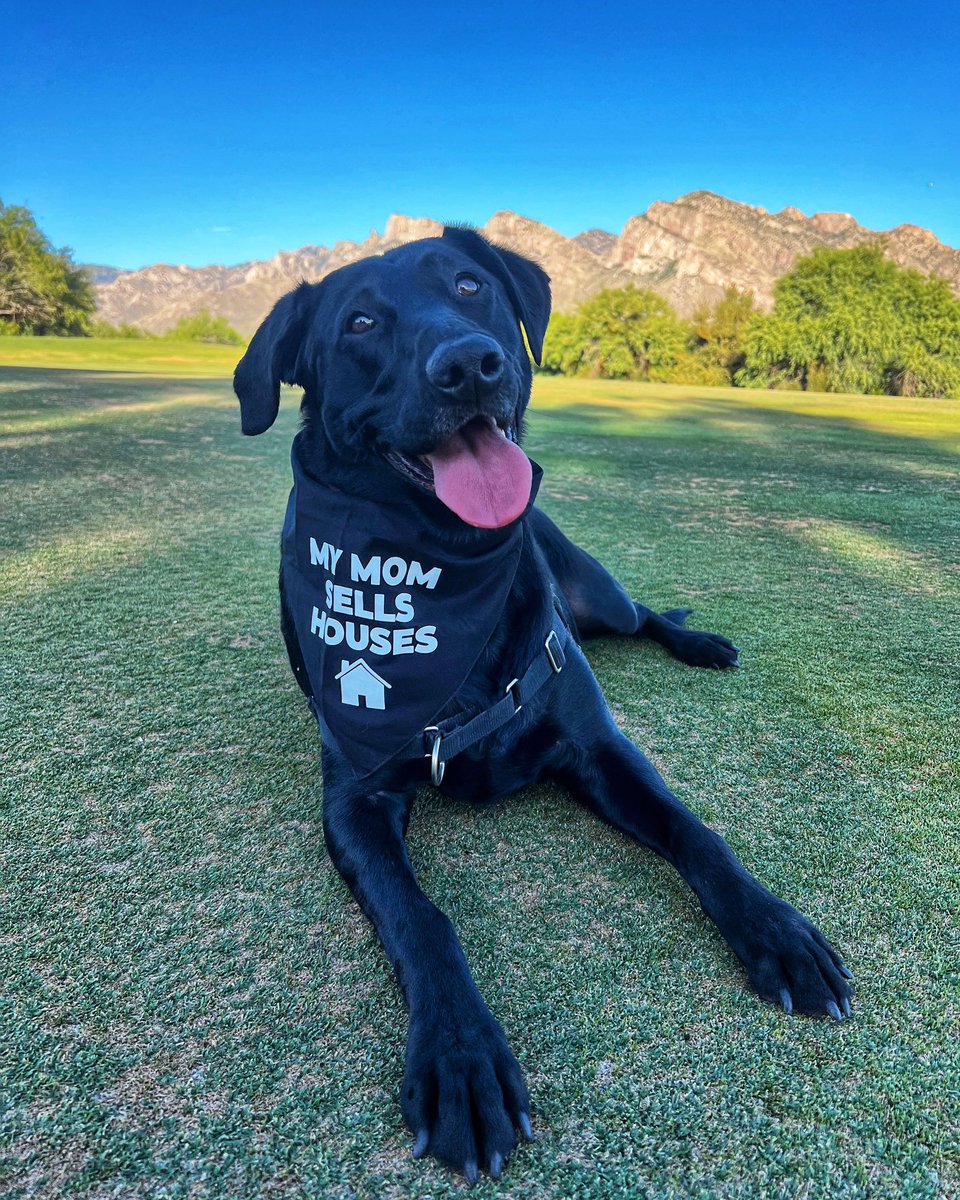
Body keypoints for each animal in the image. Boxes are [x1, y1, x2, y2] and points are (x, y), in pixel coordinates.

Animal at [232, 229, 849, 1185]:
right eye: (361, 322)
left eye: (470, 286)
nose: (469, 364)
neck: (442, 575)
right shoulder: (354, 800)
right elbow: (422, 918)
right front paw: (459, 1057)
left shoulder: (599, 748)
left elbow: (696, 832)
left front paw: (776, 930)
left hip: (597, 597)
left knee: (646, 616)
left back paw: (700, 644)